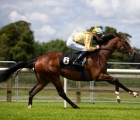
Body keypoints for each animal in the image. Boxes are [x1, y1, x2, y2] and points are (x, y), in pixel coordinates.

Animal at [0, 32, 138, 108]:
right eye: (125, 42)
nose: (134, 53)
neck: (100, 54)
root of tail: (38, 59)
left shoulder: (103, 74)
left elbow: (118, 81)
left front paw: (134, 93)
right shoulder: (98, 76)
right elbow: (116, 79)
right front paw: (118, 97)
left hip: (43, 79)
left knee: (32, 91)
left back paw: (30, 107)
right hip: (54, 76)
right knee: (61, 93)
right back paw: (75, 106)